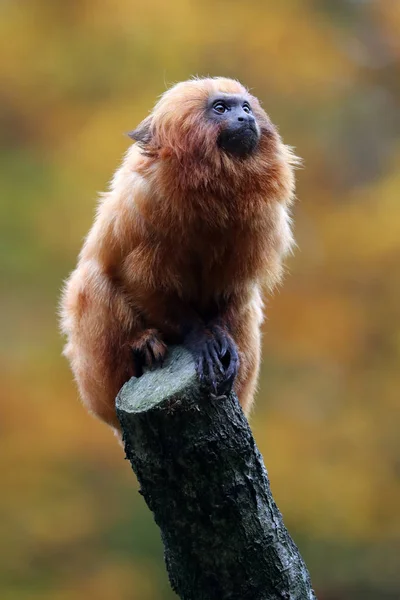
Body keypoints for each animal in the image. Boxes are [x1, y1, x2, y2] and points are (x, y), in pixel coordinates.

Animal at [59, 77, 296, 438]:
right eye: (221, 109)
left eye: (245, 107)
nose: (245, 118)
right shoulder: (144, 202)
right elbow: (135, 279)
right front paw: (199, 338)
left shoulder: (262, 221)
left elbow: (237, 288)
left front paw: (222, 337)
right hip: (96, 377)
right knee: (92, 281)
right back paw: (144, 345)